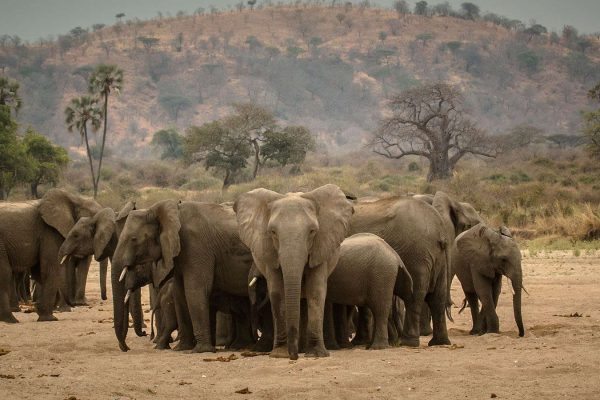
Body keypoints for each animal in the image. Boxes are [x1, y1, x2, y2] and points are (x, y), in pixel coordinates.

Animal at [0, 189, 101, 324]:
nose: (75, 304)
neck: (75, 198)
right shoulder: (49, 231)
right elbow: (50, 268)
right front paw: (50, 318)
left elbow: (40, 272)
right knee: (5, 273)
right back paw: (11, 319)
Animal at [112, 200, 253, 354]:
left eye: (133, 239)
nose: (127, 348)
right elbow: (180, 294)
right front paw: (182, 348)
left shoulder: (196, 246)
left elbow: (194, 291)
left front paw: (201, 350)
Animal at [234, 184, 356, 360]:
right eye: (273, 232)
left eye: (312, 231)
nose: (293, 356)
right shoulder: (270, 252)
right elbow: (277, 292)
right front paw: (279, 354)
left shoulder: (321, 247)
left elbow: (315, 291)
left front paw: (317, 354)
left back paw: (305, 349)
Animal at [350, 195, 452, 346]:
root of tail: (440, 229)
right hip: (438, 257)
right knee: (438, 296)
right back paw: (439, 342)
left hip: (416, 254)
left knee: (413, 295)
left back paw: (408, 342)